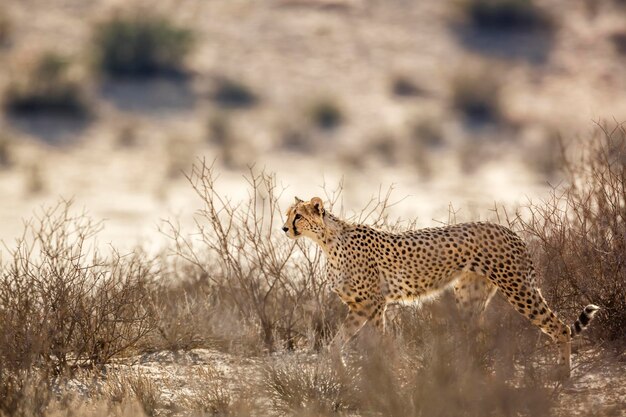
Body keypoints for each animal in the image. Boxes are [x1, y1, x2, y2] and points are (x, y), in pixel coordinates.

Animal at [280, 197, 596, 376]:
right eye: (287, 214)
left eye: (298, 216)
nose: (284, 229)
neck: (327, 240)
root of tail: (510, 230)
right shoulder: (361, 307)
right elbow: (336, 343)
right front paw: (340, 370)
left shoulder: (372, 304)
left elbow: (381, 341)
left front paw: (390, 372)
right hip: (468, 296)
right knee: (479, 336)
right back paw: (470, 373)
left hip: (518, 288)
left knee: (559, 327)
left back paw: (562, 375)